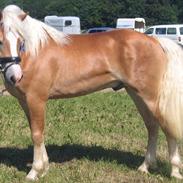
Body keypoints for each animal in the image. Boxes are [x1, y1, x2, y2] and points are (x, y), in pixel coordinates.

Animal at [0, 4, 183, 182]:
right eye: (1, 42)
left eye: (20, 41)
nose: (15, 76)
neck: (34, 53)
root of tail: (154, 40)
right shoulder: (25, 102)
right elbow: (36, 131)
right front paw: (44, 169)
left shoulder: (36, 99)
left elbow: (37, 134)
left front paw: (34, 172)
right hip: (136, 94)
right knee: (152, 127)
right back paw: (145, 167)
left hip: (150, 96)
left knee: (166, 127)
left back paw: (174, 171)